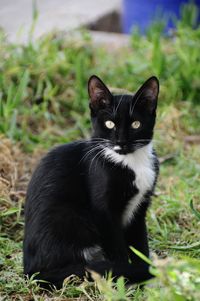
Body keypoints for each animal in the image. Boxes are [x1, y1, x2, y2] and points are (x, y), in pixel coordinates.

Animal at [23, 75, 160, 288]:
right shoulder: (104, 212)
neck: (130, 162)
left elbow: (139, 243)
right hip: (71, 219)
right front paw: (126, 278)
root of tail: (31, 271)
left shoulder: (140, 208)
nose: (121, 141)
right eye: (110, 124)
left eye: (136, 124)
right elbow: (117, 249)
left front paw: (145, 277)